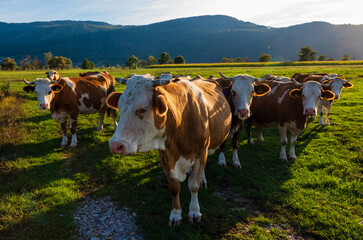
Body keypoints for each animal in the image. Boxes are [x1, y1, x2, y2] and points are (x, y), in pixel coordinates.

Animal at [106, 73, 232, 225]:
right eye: (119, 106)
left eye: (143, 109)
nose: (114, 145)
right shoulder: (165, 157)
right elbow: (174, 188)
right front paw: (176, 214)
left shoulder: (201, 152)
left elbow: (193, 185)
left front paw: (194, 211)